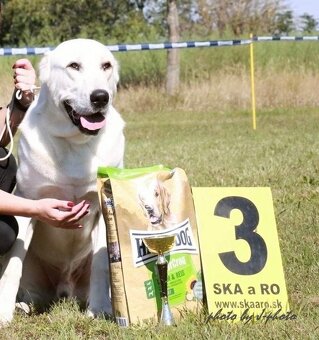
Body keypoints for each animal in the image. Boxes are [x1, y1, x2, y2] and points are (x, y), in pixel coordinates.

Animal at [0, 38, 125, 322]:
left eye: (106, 65)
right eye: (74, 66)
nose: (100, 96)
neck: (76, 142)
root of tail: (64, 290)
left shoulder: (104, 208)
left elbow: (102, 264)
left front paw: (99, 310)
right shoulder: (26, 204)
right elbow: (13, 265)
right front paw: (2, 312)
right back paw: (21, 306)